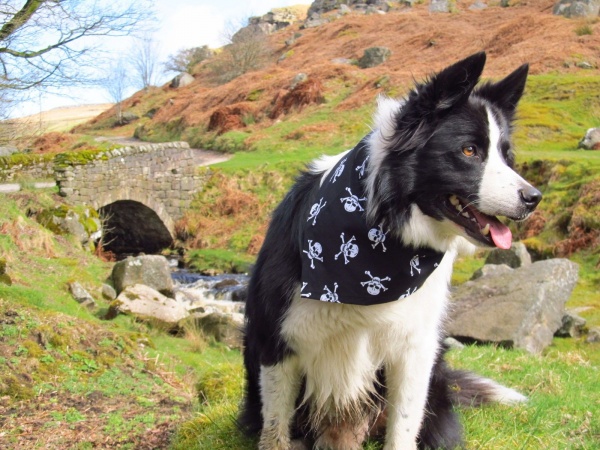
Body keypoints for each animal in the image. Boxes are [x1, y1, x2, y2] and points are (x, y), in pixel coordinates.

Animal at [240, 53, 544, 450]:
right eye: (469, 150)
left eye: (506, 157)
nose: (534, 198)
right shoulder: (277, 342)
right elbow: (275, 428)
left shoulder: (415, 348)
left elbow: (403, 425)